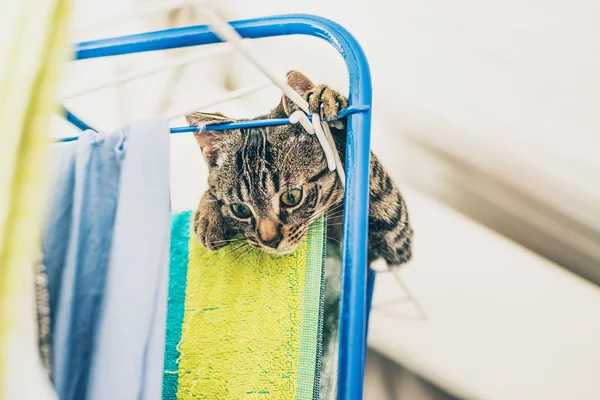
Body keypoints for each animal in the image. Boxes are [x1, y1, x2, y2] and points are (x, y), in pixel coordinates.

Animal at [186, 72, 412, 266]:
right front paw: (207, 215)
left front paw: (325, 99)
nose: (271, 240)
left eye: (291, 197)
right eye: (240, 209)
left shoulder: (398, 240)